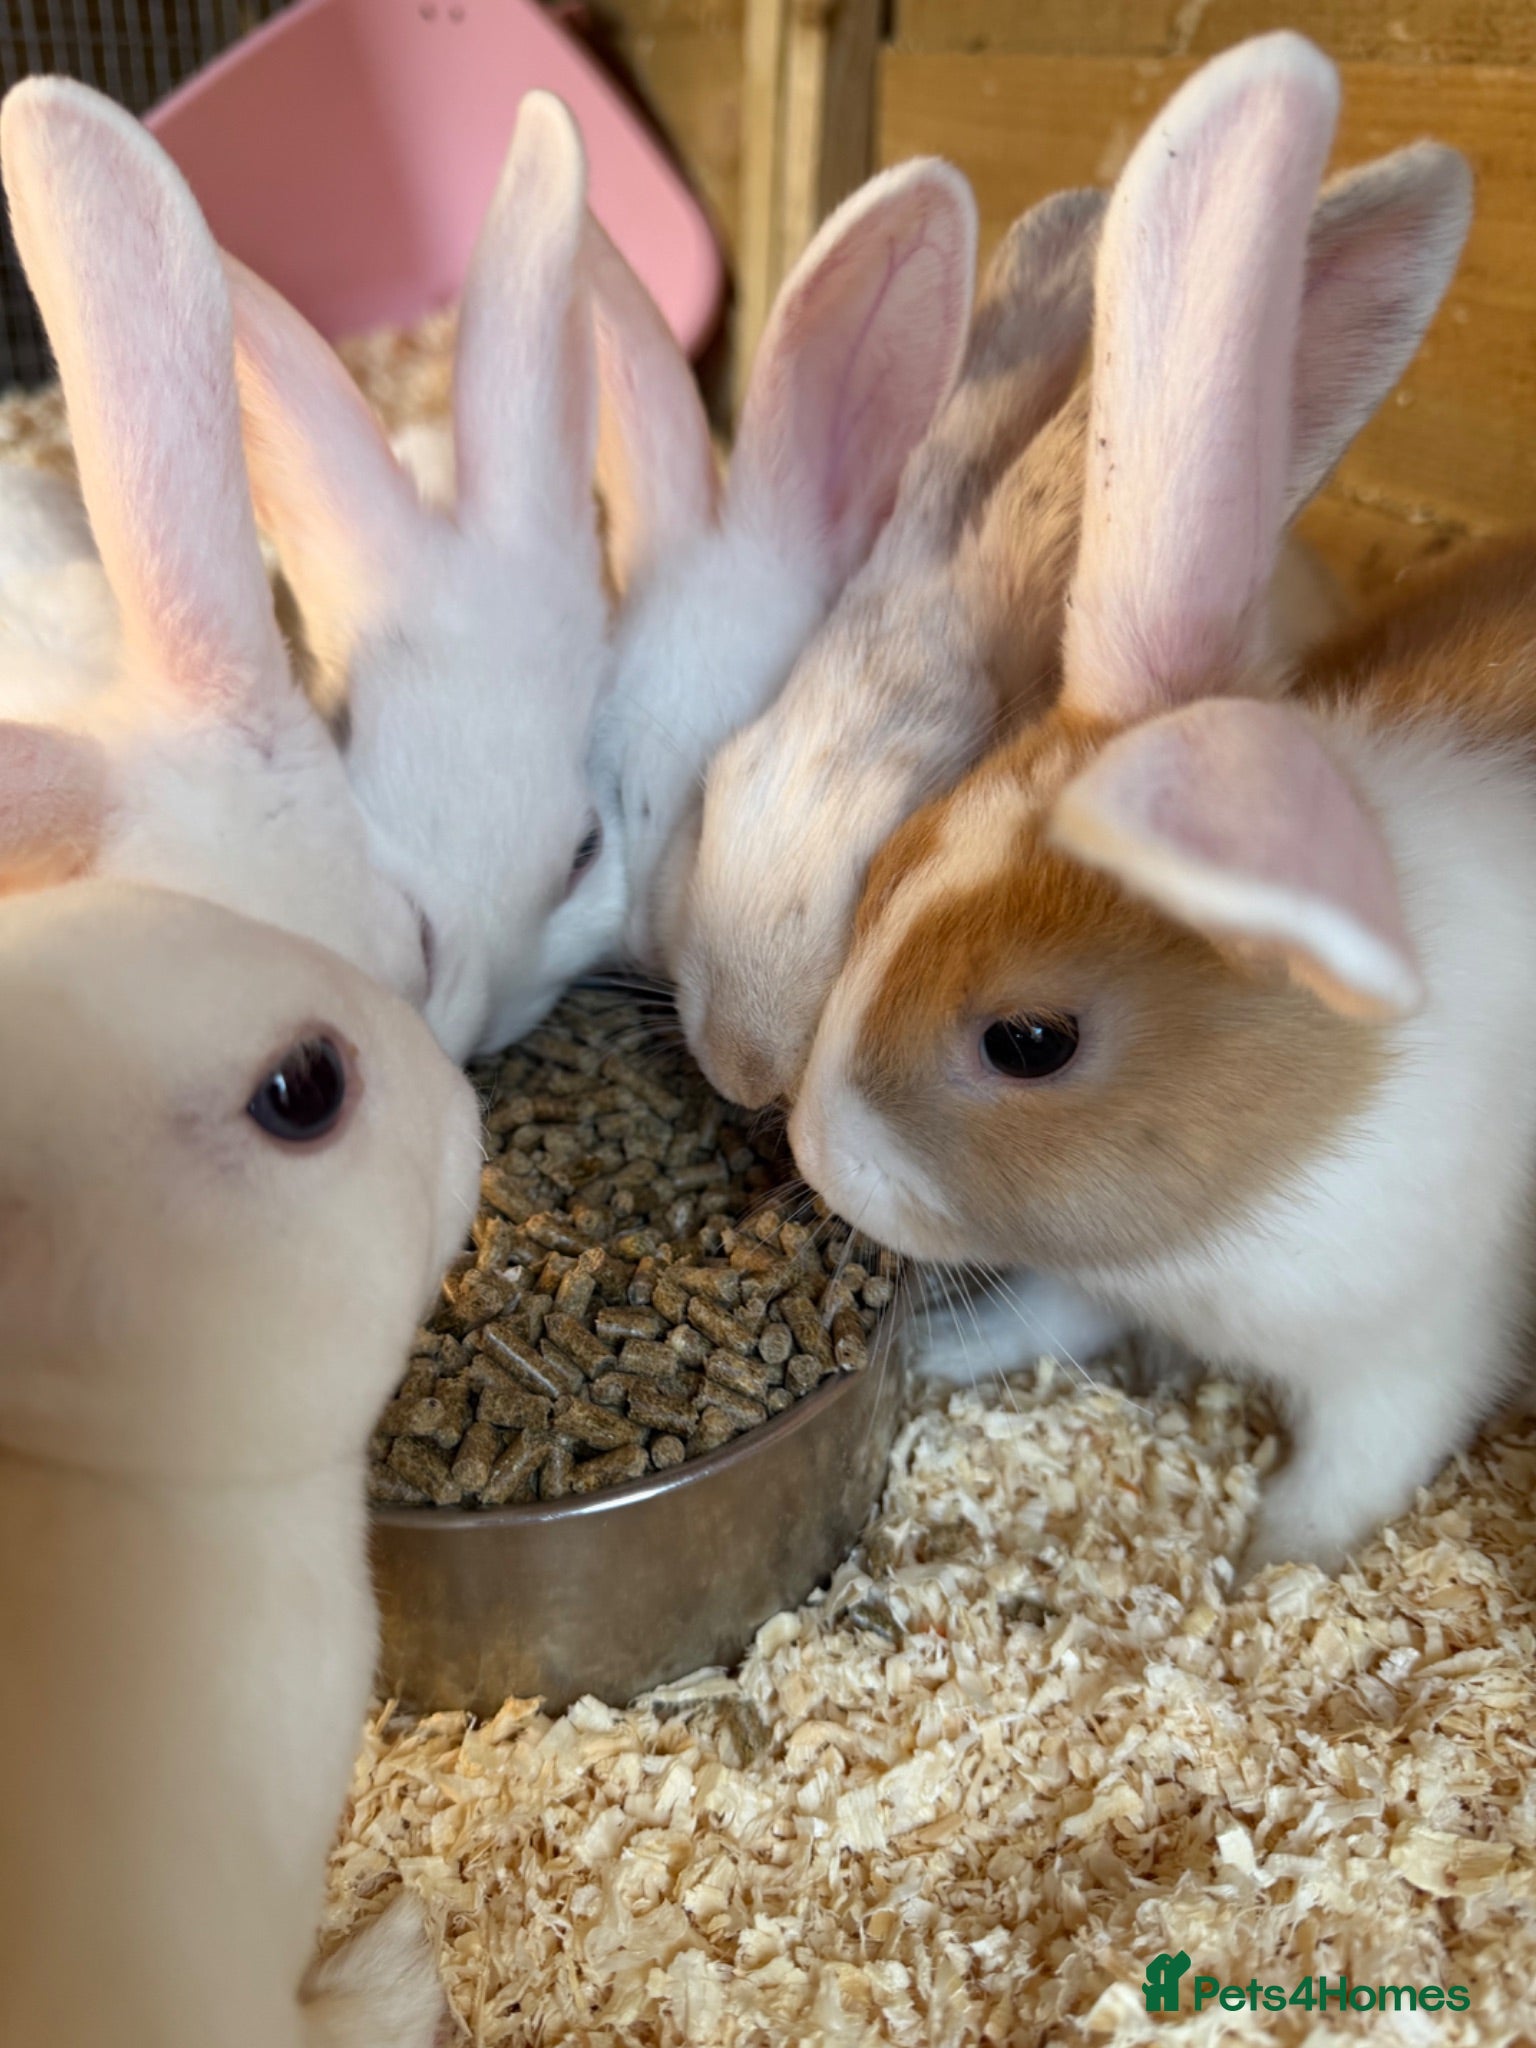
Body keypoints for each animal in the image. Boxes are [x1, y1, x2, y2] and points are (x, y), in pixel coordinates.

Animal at [785, 32, 1504, 1579]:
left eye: (1030, 1041)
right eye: (890, 868)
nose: (814, 1152)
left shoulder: (1414, 1355)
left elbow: (1353, 1469)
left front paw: (1260, 1565)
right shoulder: (1115, 1274)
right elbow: (1058, 1307)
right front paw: (951, 1358)